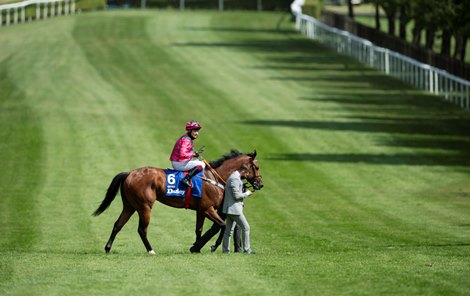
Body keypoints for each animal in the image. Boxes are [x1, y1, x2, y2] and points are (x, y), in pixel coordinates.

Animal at [90, 150, 262, 254]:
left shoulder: (201, 210)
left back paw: (108, 248)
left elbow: (199, 229)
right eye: (257, 166)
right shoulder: (208, 208)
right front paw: (210, 246)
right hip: (145, 207)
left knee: (118, 225)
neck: (214, 178)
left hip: (130, 206)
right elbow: (222, 225)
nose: (260, 184)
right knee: (141, 230)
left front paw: (196, 247)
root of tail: (129, 173)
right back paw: (151, 250)